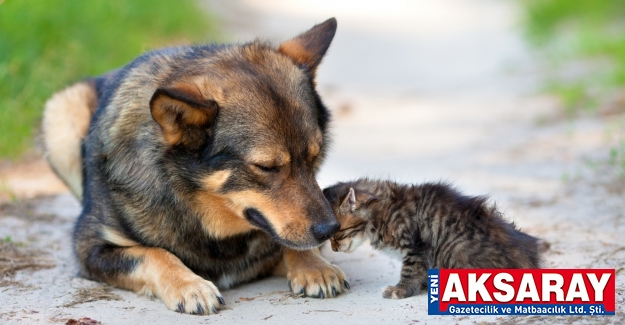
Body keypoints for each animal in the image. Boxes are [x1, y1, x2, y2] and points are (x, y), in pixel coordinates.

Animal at [43, 17, 346, 314]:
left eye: (314, 157)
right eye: (266, 167)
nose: (330, 229)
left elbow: (290, 244)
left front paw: (315, 267)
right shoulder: (90, 248)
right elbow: (153, 253)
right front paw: (189, 285)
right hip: (61, 111)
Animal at [324, 180, 544, 298]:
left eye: (338, 235)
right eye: (328, 238)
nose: (333, 249)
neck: (382, 210)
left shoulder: (415, 246)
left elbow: (410, 271)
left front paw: (400, 290)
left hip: (455, 249)